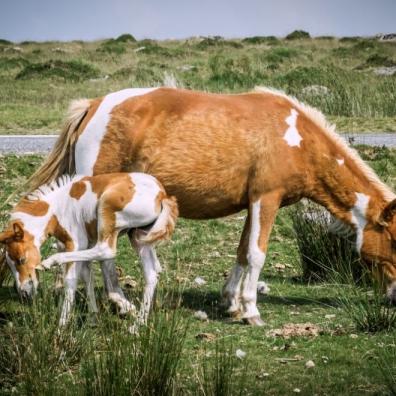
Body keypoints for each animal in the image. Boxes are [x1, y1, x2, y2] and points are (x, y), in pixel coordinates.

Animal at [0, 172, 176, 324]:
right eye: (9, 264)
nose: (24, 292)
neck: (58, 208)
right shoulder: (85, 246)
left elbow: (71, 281)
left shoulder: (76, 244)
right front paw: (94, 317)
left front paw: (61, 328)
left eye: (21, 259)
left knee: (106, 250)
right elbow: (88, 277)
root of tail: (162, 194)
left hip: (107, 210)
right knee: (151, 273)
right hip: (139, 237)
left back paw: (50, 261)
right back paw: (137, 325)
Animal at [27, 86, 396, 324]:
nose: (394, 298)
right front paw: (251, 309)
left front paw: (232, 302)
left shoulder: (253, 203)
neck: (296, 139)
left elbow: (243, 251)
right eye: (393, 240)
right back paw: (120, 303)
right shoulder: (267, 199)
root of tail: (93, 106)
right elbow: (257, 254)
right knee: (98, 255)